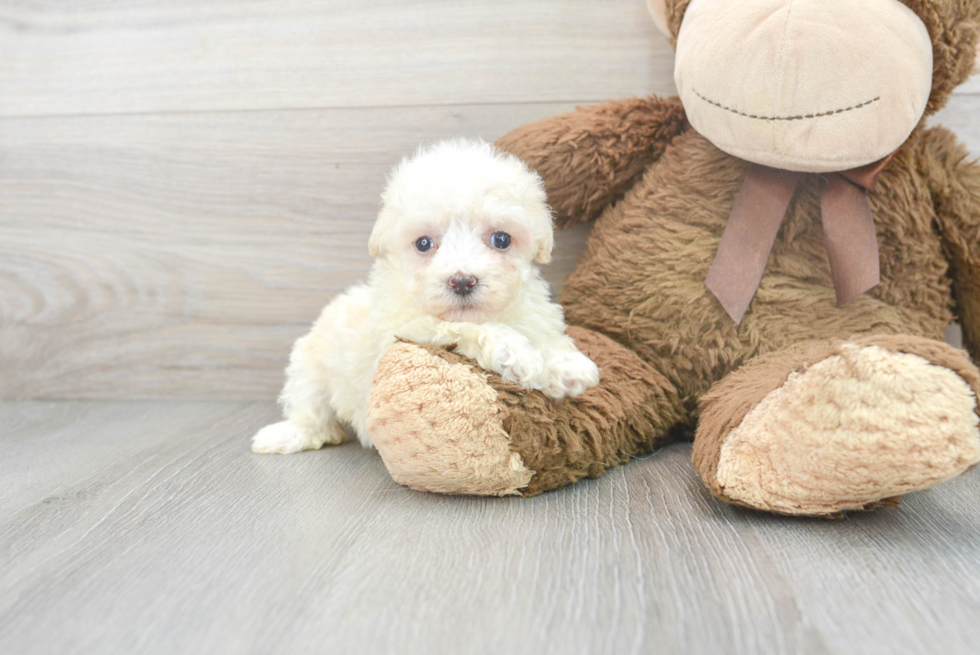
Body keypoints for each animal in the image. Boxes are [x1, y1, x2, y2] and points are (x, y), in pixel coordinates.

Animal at [251, 138, 596, 456]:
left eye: (501, 239)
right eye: (423, 243)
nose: (462, 282)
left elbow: (545, 335)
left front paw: (568, 368)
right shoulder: (405, 331)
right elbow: (466, 328)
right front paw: (515, 353)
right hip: (309, 366)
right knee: (311, 414)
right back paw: (285, 435)